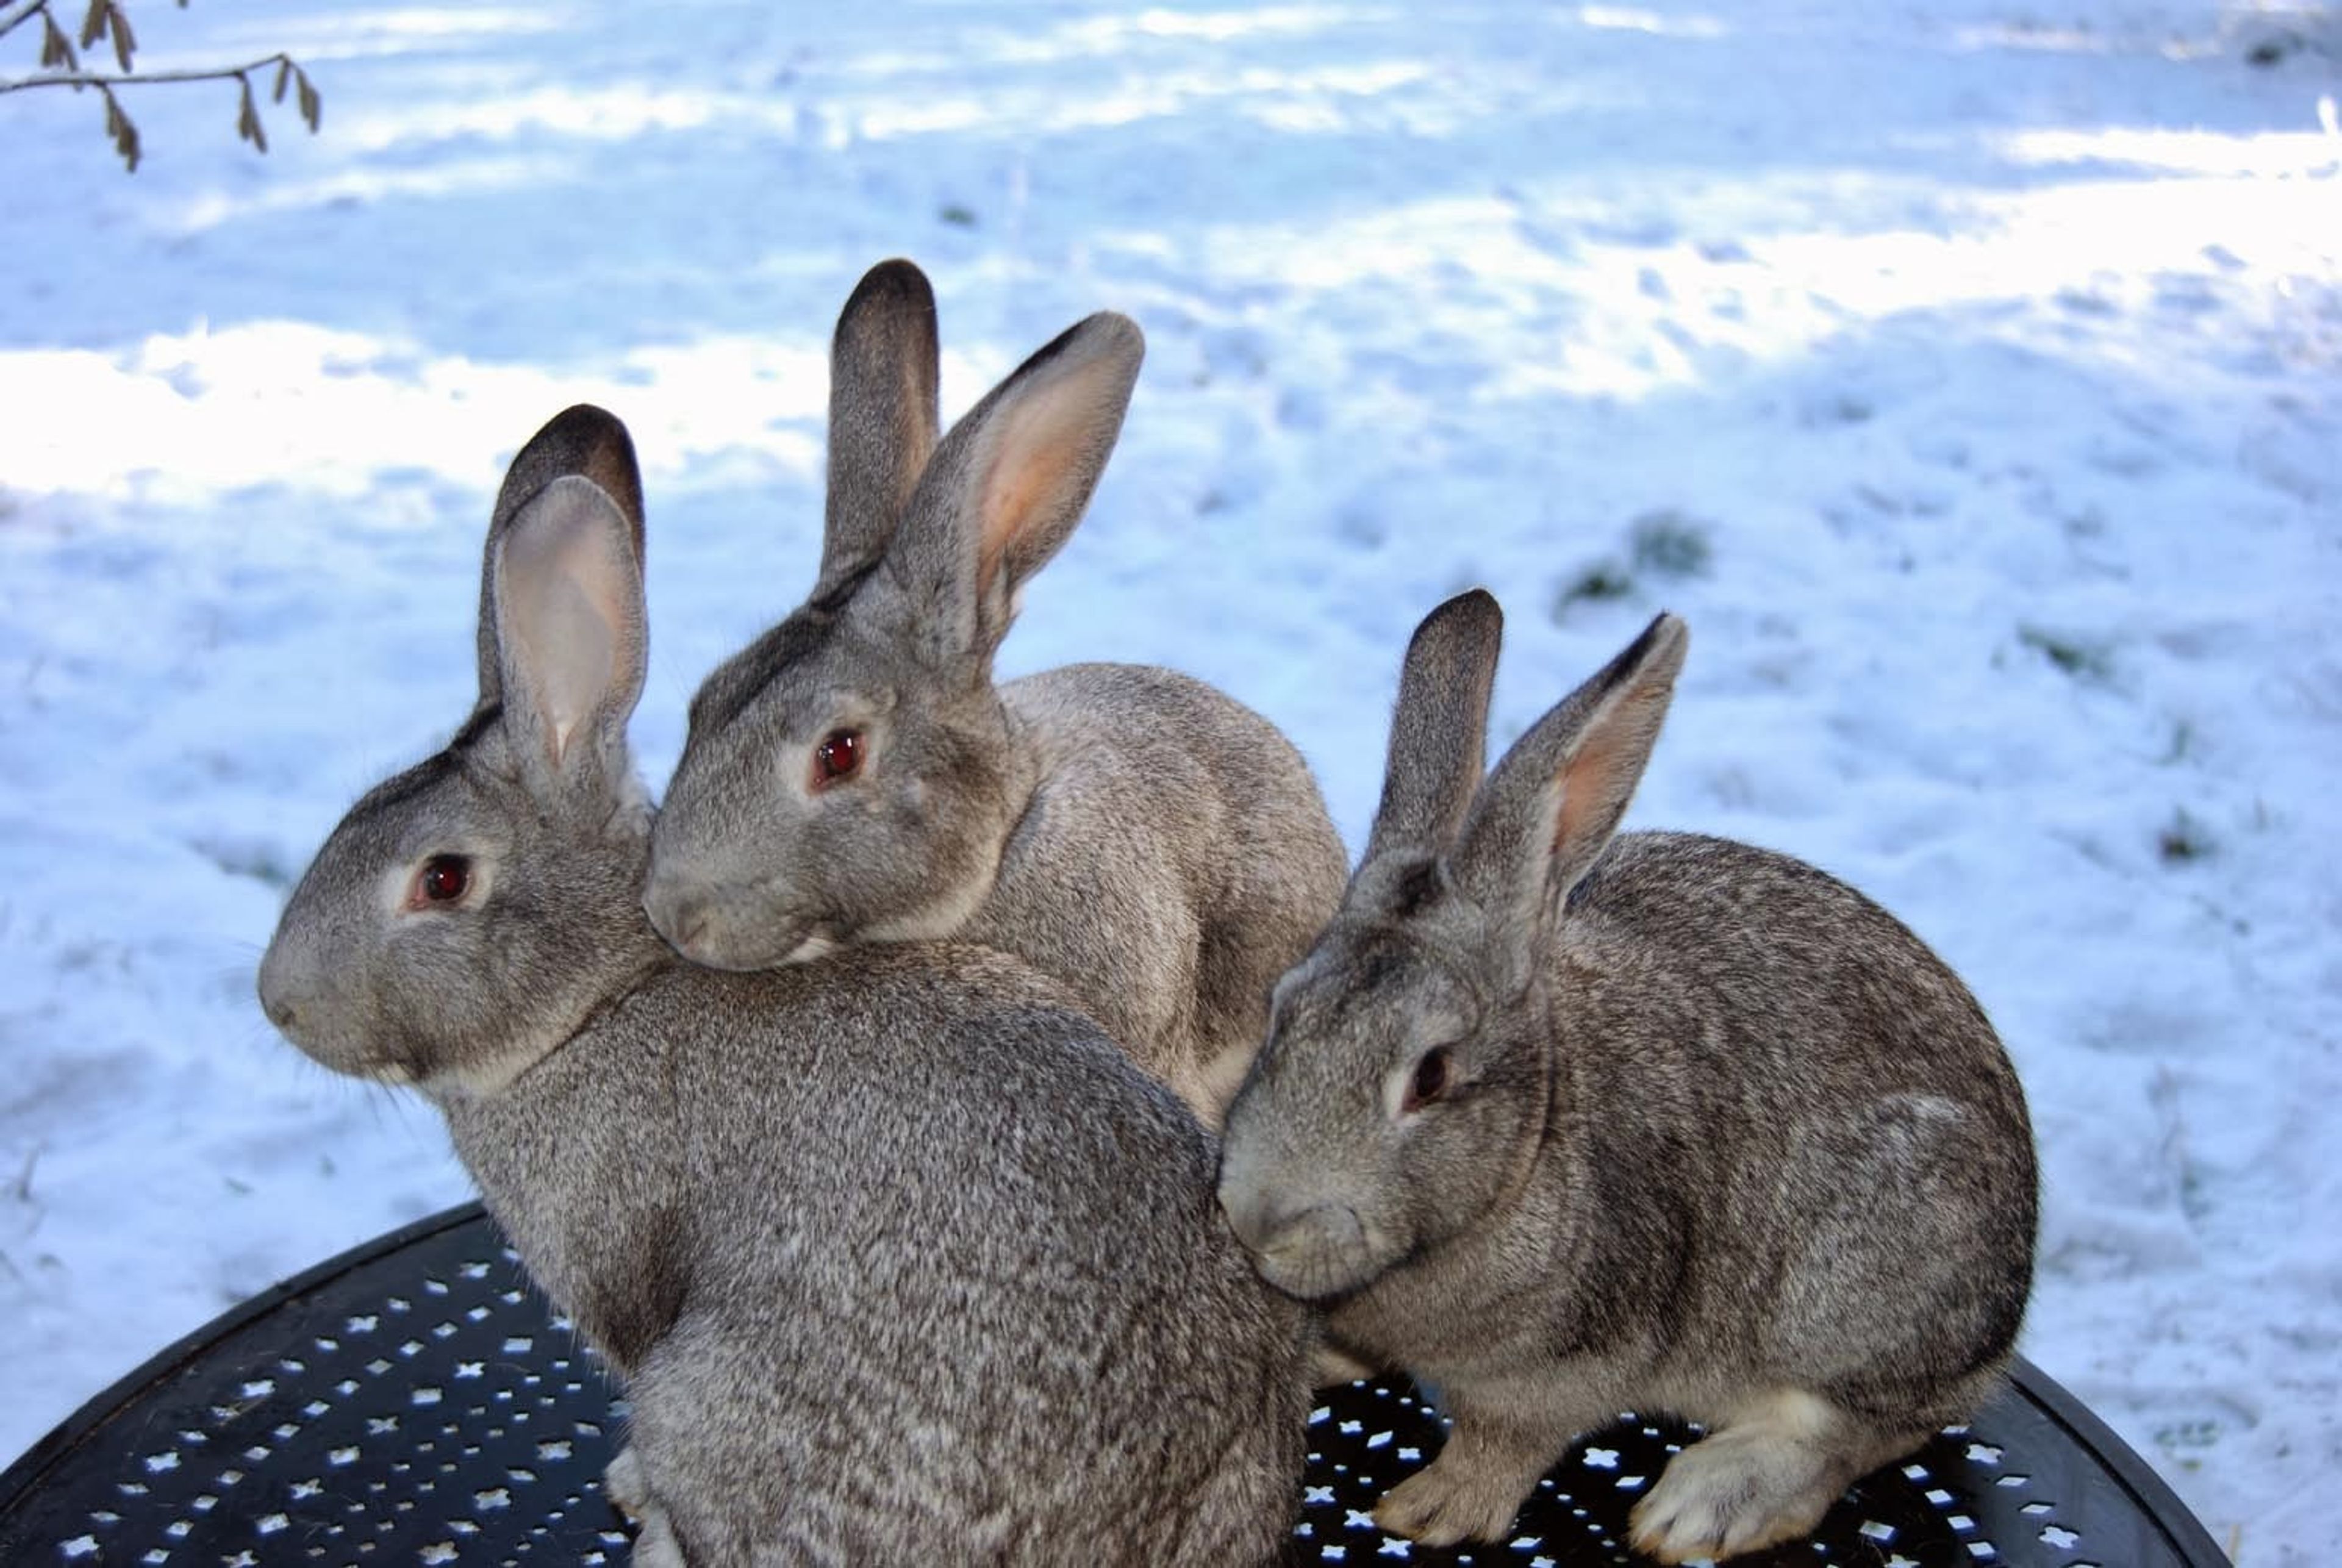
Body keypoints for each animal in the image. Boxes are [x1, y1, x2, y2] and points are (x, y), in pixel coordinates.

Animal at [1208, 592, 2033, 1568]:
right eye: (1281, 1011)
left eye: (1432, 1076)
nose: (1259, 1219)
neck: (1524, 1160)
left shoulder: (1567, 1366)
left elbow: (1506, 1441)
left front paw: (1432, 1507)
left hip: (1864, 1287)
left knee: (1862, 1426)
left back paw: (1707, 1504)